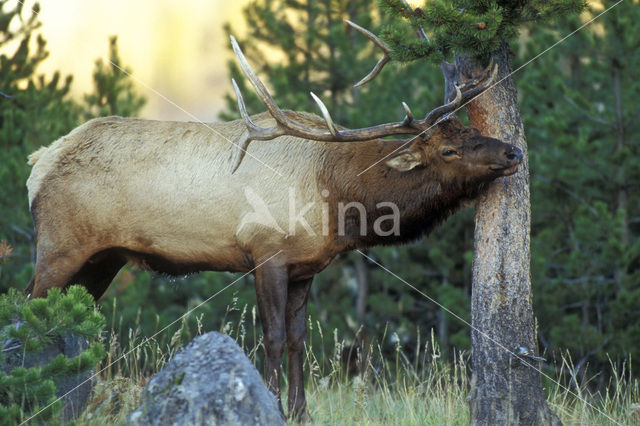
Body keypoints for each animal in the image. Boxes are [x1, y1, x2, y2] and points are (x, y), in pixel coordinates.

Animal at [27, 20, 524, 422]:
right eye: (449, 150)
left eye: (470, 129)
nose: (513, 151)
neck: (335, 197)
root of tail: (38, 164)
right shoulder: (265, 253)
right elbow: (273, 337)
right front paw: (275, 405)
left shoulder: (307, 267)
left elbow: (299, 339)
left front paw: (304, 411)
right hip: (59, 247)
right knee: (29, 309)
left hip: (102, 260)